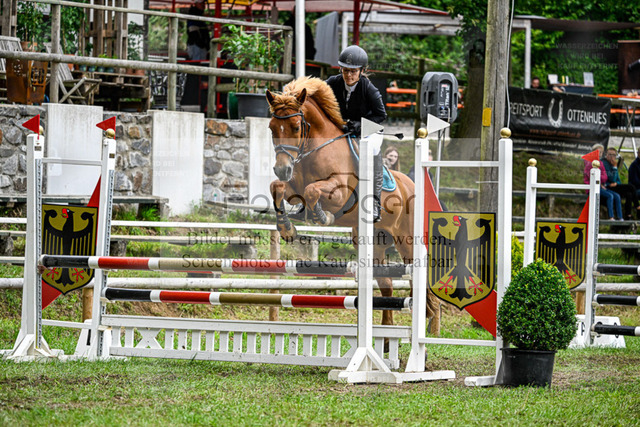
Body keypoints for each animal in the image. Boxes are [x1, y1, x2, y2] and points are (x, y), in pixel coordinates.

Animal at [265, 76, 438, 326]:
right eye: (271, 128)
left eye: (296, 127)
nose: (282, 169)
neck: (314, 149)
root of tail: (412, 186)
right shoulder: (291, 187)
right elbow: (277, 188)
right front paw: (287, 229)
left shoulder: (339, 193)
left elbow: (312, 190)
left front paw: (322, 216)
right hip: (374, 241)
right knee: (386, 284)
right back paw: (386, 333)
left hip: (406, 240)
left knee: (414, 278)